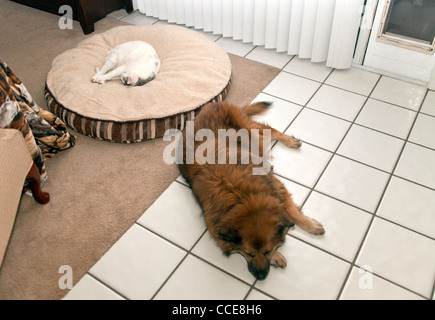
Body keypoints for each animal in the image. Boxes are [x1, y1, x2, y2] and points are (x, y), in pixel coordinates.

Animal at [179, 100, 326, 280]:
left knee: (270, 129)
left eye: (267, 251)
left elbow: (293, 213)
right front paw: (277, 257)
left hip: (250, 129)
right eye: (248, 253)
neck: (245, 198)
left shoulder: (277, 187)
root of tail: (211, 105)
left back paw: (290, 141)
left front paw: (311, 226)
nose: (261, 276)